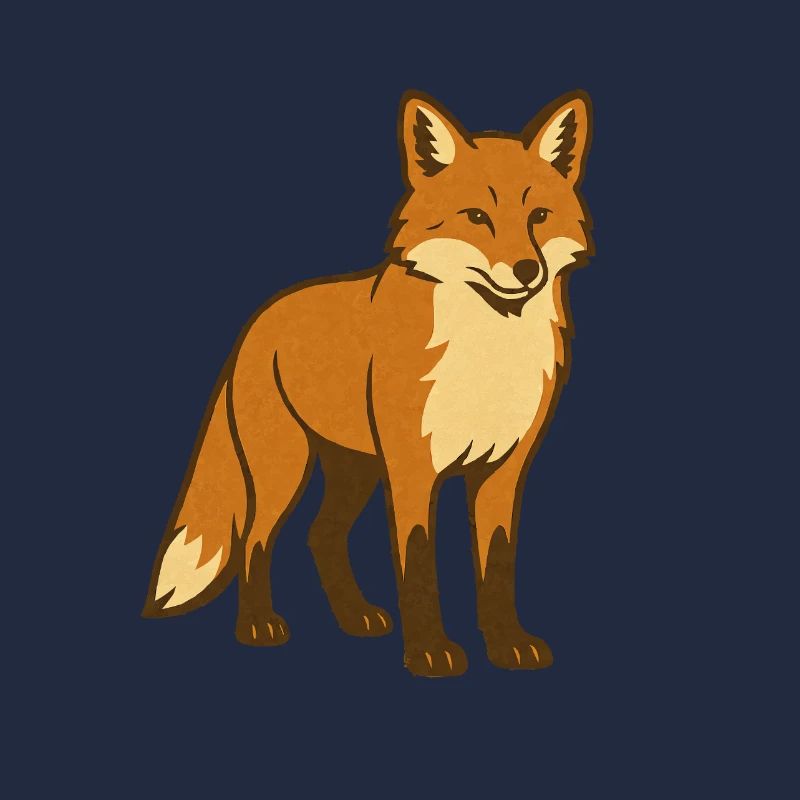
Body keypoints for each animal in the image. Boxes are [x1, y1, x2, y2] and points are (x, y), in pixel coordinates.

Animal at [143, 90, 594, 676]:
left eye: (539, 216)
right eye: (477, 217)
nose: (525, 270)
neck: (486, 353)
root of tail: (259, 318)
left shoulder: (503, 471)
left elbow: (497, 566)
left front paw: (506, 643)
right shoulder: (412, 467)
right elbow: (417, 562)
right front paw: (428, 651)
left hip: (355, 470)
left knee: (321, 535)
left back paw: (354, 616)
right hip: (285, 467)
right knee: (256, 540)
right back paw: (258, 626)